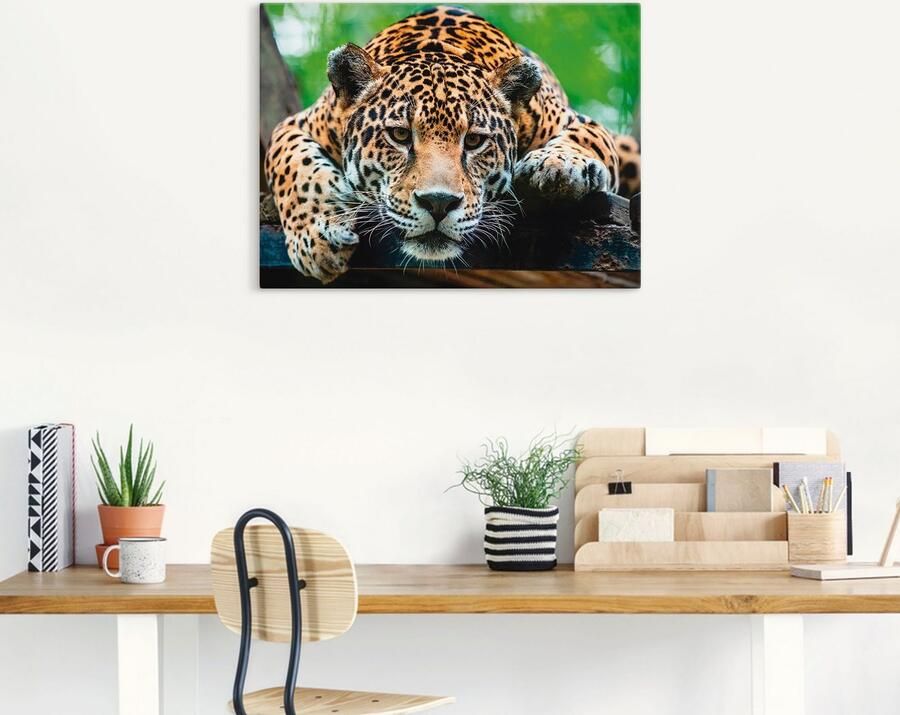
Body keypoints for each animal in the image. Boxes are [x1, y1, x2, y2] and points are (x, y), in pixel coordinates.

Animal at [264, 5, 641, 283]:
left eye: (474, 141)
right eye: (400, 135)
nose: (438, 203)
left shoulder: (577, 122)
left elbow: (585, 139)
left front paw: (558, 166)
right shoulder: (296, 124)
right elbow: (294, 168)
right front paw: (317, 239)